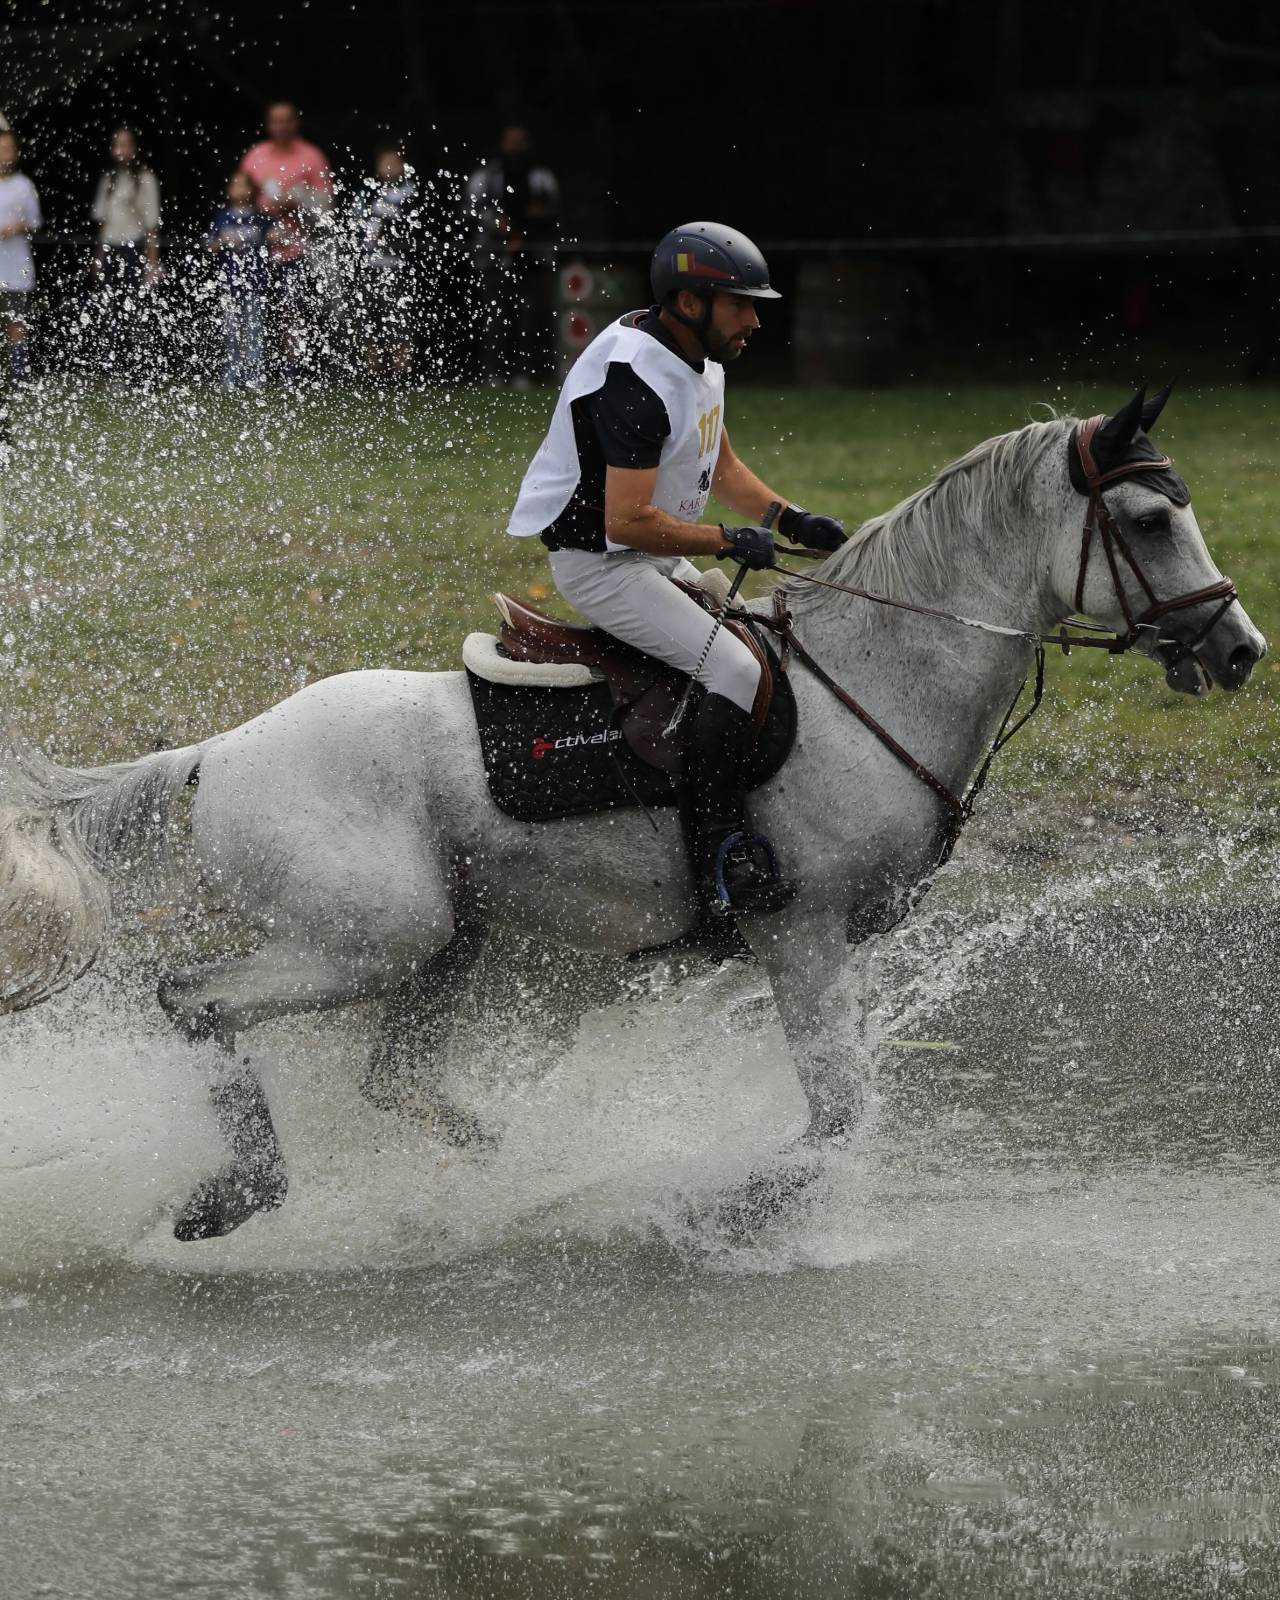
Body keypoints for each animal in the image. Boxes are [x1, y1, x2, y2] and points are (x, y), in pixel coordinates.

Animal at [0, 387, 1265, 1242]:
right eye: (1147, 520)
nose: (1240, 649)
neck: (872, 677)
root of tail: (219, 751)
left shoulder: (803, 945)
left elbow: (839, 1102)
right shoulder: (797, 933)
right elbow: (838, 1111)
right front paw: (743, 1208)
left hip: (442, 938)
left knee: (391, 1078)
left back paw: (506, 1169)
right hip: (370, 939)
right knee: (193, 999)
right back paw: (244, 1192)